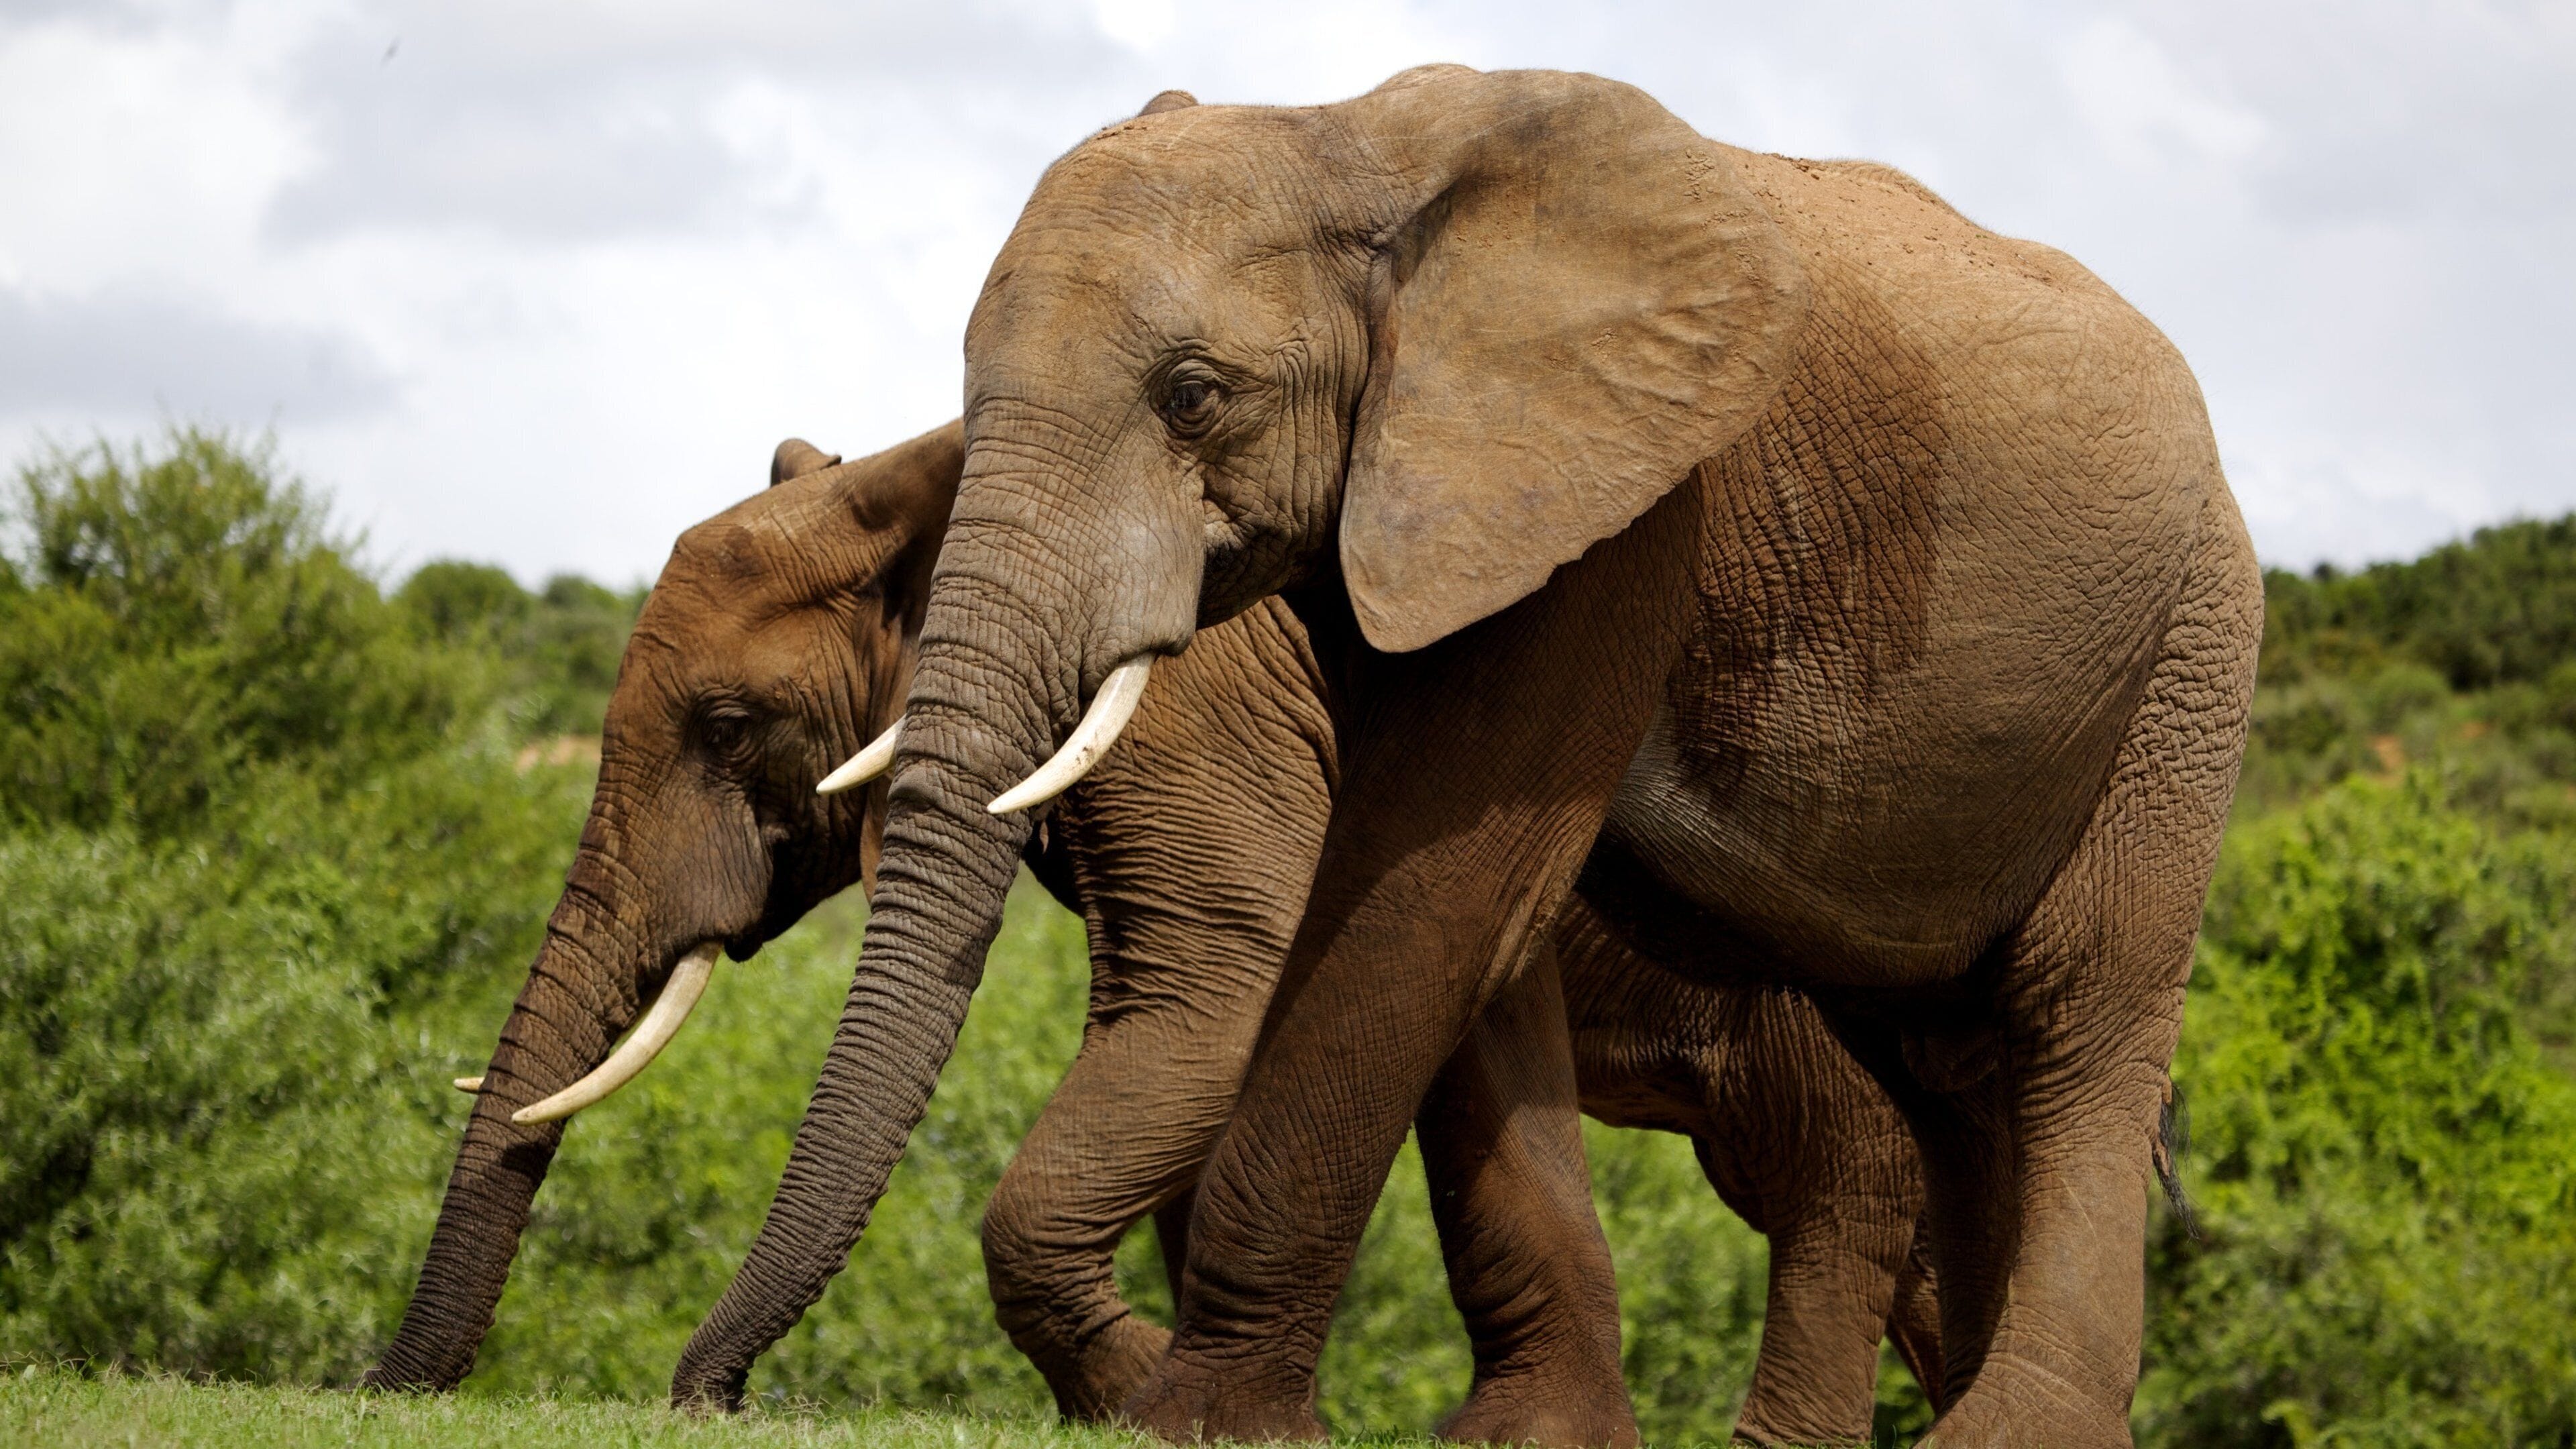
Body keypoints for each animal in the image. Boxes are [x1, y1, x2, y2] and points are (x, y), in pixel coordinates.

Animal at [361, 421, 1946, 1445]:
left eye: (728, 728)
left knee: (1841, 1185)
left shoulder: (1193, 715)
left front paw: (1147, 1399)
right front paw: (1213, 1400)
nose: (718, 1399)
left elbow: (1212, 1002)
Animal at [673, 67, 2260, 1449]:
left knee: (2076, 1015)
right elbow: (1464, 918)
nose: (716, 1399)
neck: (1346, 143)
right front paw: (1527, 1437)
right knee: (1947, 1062)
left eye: (1192, 396)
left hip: (2191, 657)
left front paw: (1200, 1424)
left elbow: (1434, 883)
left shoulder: (1620, 510)